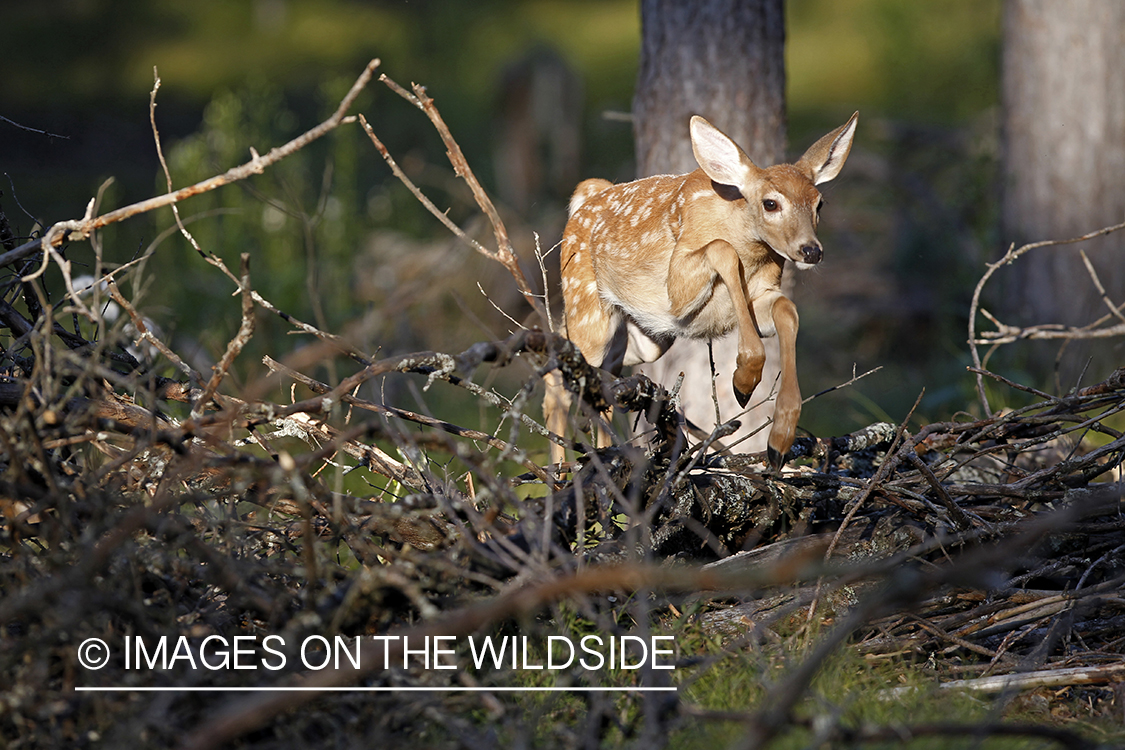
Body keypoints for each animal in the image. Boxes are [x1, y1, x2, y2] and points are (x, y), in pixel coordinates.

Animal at [544, 112, 858, 470]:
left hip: (646, 339)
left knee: (603, 377)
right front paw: (744, 378)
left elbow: (787, 311)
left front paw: (779, 440)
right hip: (586, 308)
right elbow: (723, 249)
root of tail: (583, 201)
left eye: (819, 204)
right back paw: (560, 472)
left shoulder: (761, 295)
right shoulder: (677, 287)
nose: (811, 251)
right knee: (561, 373)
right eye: (771, 203)